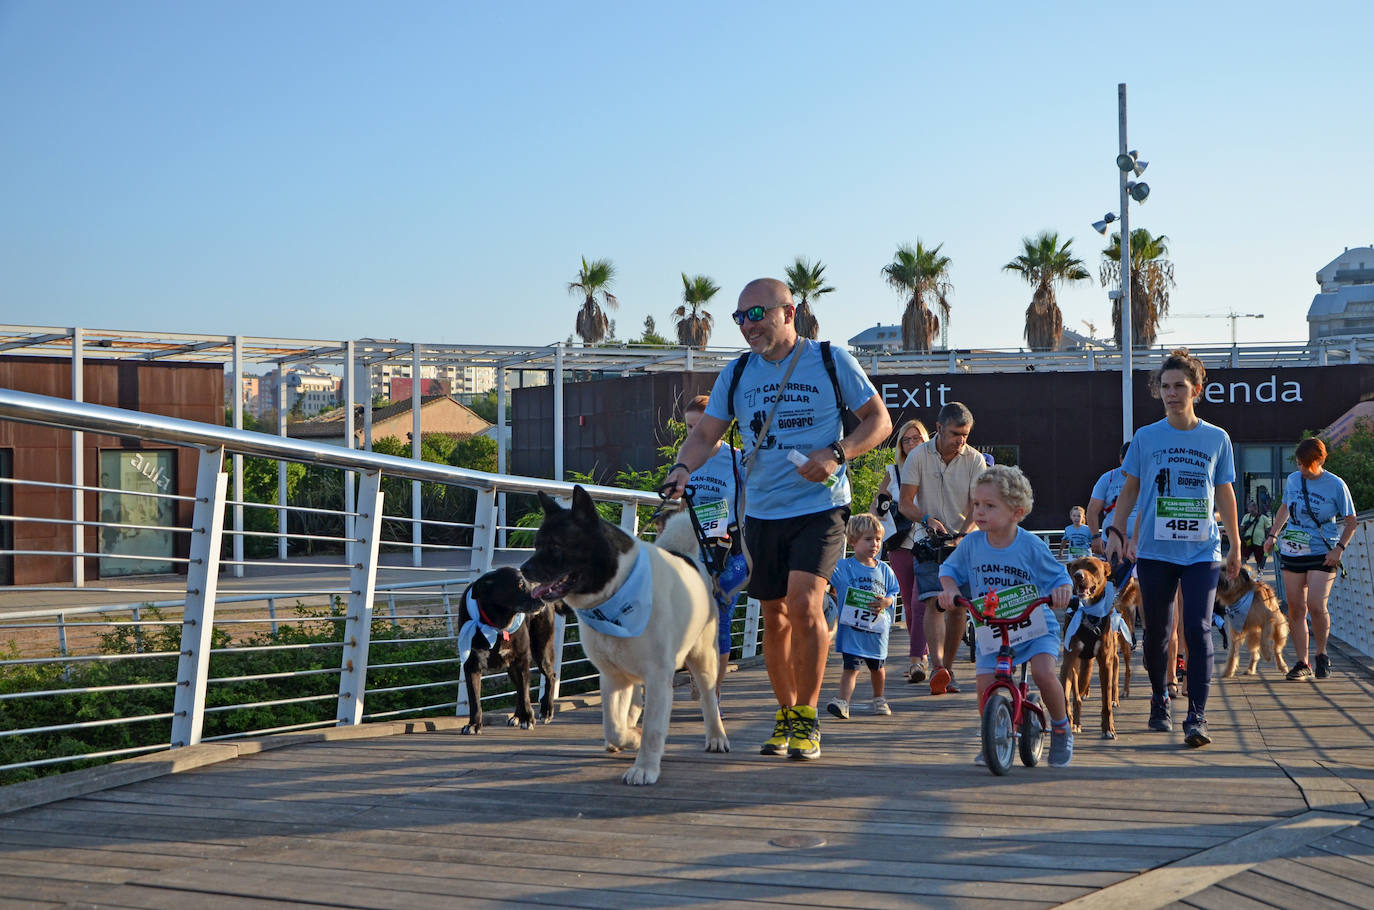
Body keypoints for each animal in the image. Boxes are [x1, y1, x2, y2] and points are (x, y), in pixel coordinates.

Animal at [1060, 555, 1126, 742]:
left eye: (1091, 566)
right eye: (1074, 567)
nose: (1078, 576)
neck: (1089, 613)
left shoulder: (1105, 661)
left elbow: (1106, 700)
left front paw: (1108, 729)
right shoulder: (1069, 660)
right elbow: (1067, 696)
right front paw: (1070, 721)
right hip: (1074, 665)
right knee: (1076, 694)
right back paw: (1075, 722)